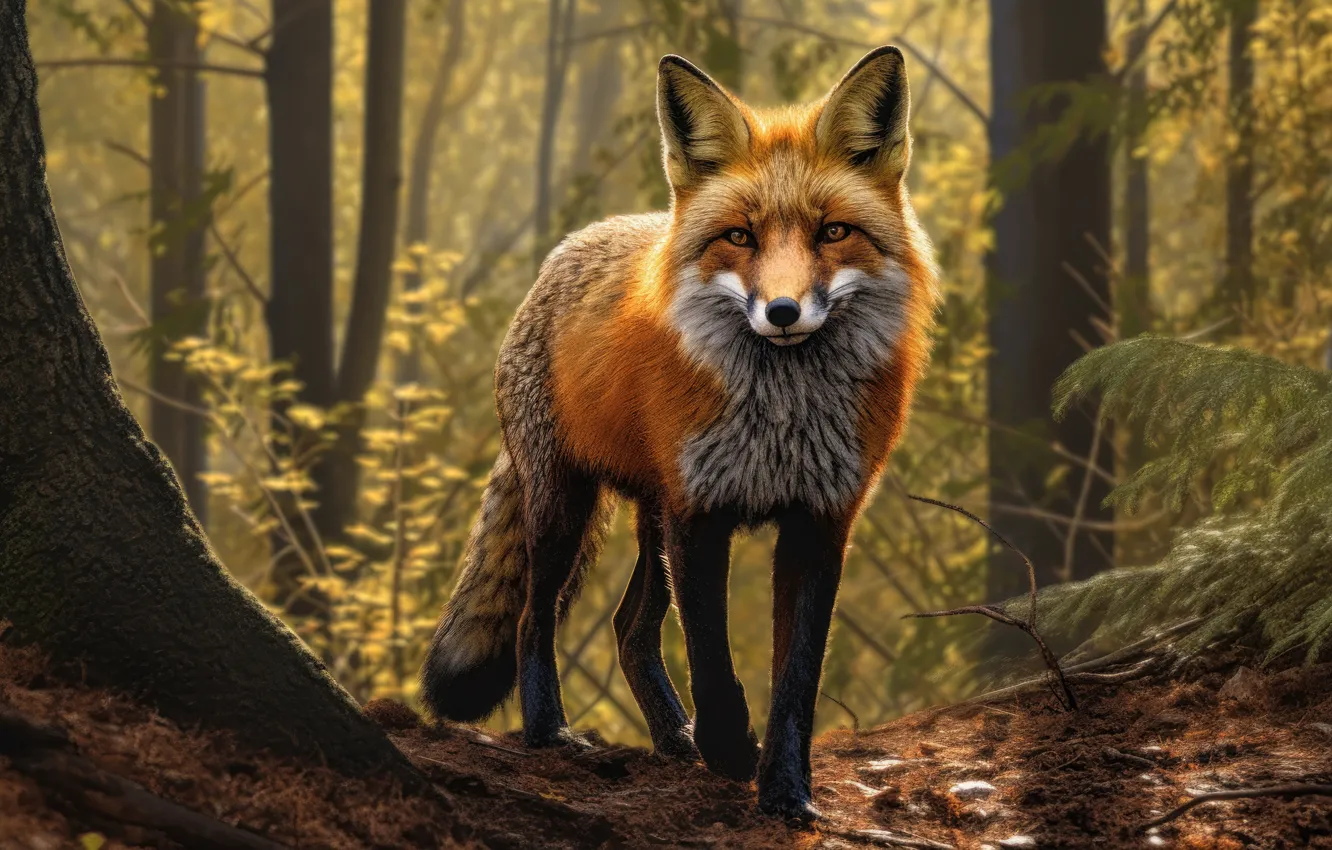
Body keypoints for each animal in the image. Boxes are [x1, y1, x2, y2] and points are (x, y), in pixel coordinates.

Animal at [420, 47, 938, 819]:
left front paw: (786, 791)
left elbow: (797, 681)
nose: (782, 312)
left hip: (650, 518)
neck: (781, 418)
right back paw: (550, 731)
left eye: (833, 232)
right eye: (740, 237)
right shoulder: (700, 515)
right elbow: (714, 663)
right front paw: (731, 753)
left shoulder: (820, 522)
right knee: (532, 619)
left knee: (629, 631)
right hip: (567, 507)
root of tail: (571, 245)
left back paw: (671, 739)